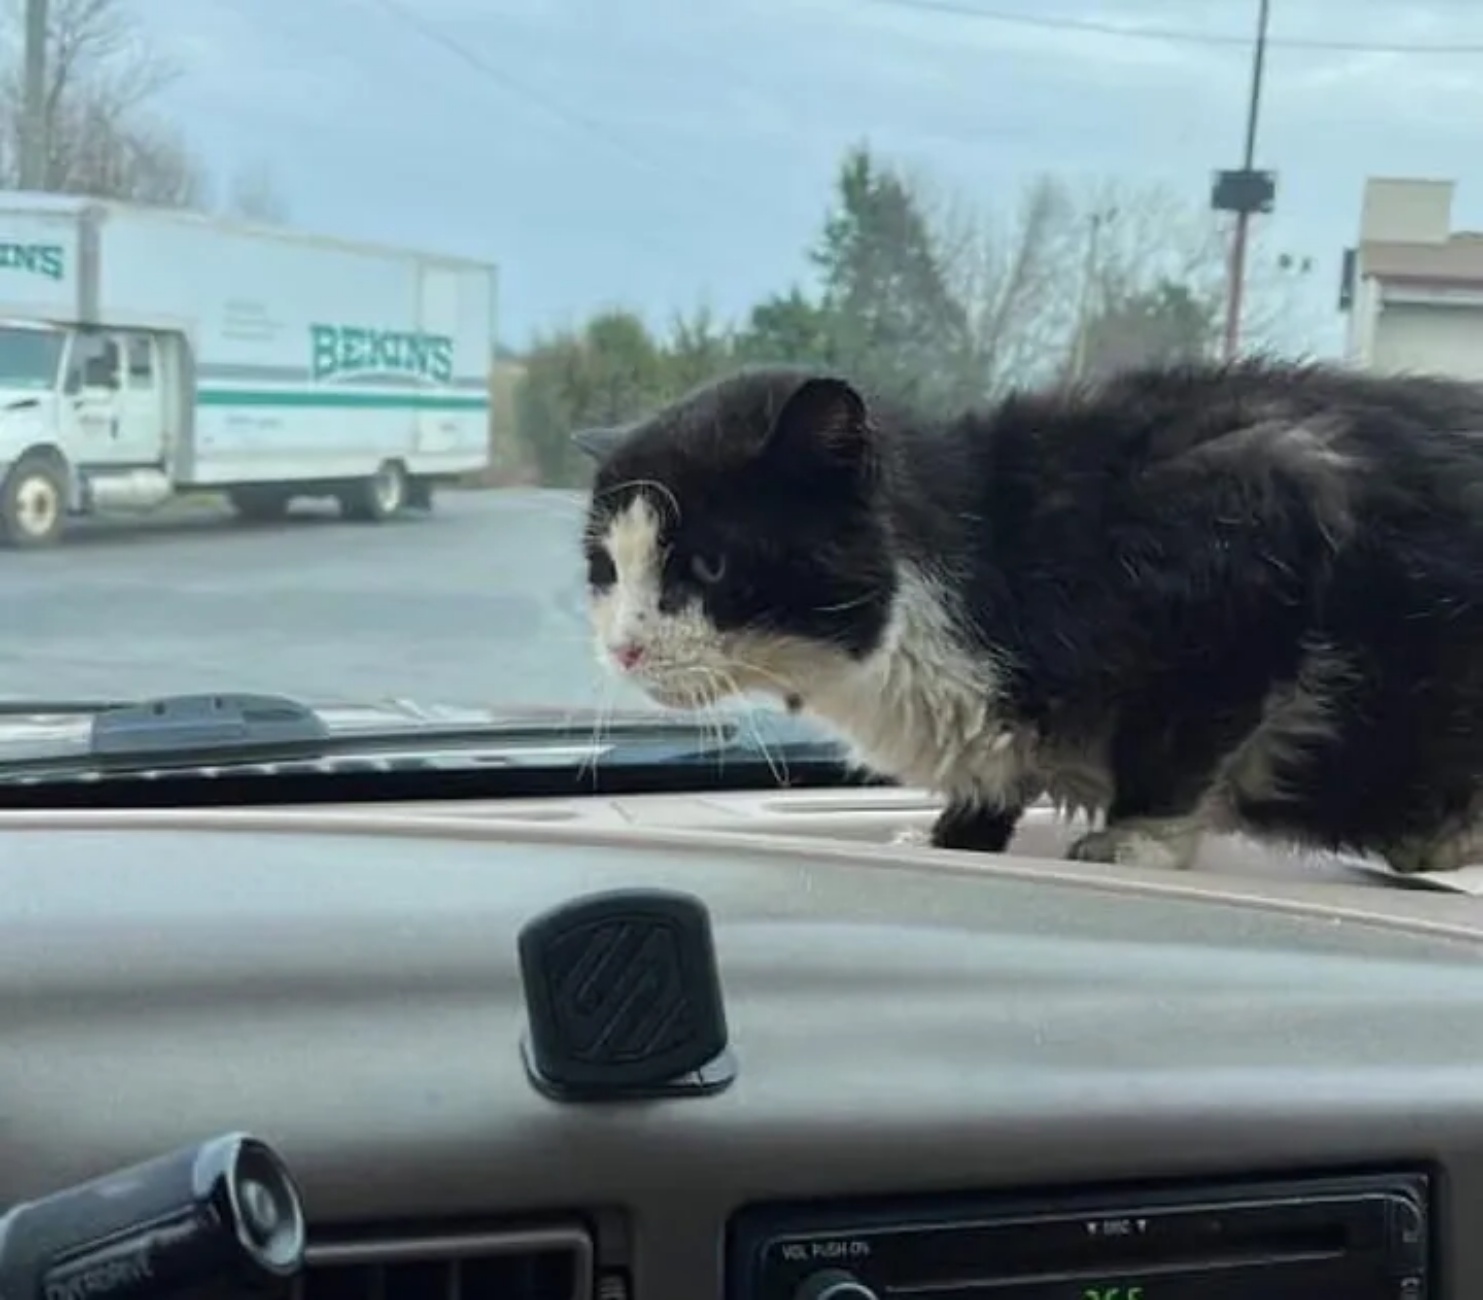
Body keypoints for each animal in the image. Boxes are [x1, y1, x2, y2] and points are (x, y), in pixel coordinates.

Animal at [575, 357, 1483, 871]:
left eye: (709, 566)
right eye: (605, 569)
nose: (621, 650)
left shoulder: (1252, 521)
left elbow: (1178, 740)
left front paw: (1135, 842)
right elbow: (989, 781)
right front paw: (952, 837)